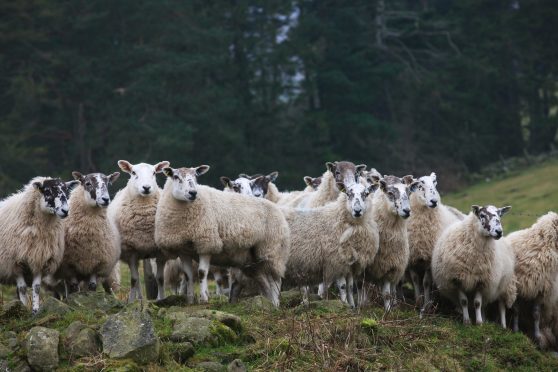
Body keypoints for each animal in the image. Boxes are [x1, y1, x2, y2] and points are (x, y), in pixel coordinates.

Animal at [107, 160, 171, 302]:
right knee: (137, 282)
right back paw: (139, 299)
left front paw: (161, 299)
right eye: (133, 172)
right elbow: (134, 280)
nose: (146, 188)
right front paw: (131, 301)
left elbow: (160, 278)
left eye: (154, 173)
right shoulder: (131, 252)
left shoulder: (160, 252)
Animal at [155, 164, 290, 306]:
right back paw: (270, 303)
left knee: (275, 280)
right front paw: (190, 300)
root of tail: (276, 207)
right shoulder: (183, 249)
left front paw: (204, 298)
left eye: (196, 176)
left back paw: (275, 303)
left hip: (272, 250)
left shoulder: (207, 243)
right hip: (254, 259)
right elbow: (188, 276)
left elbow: (202, 273)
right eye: (176, 177)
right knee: (264, 280)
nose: (193, 193)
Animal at [366, 174, 418, 310]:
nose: (407, 210)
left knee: (393, 289)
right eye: (390, 193)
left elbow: (387, 294)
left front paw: (388, 310)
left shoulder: (390, 267)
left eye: (408, 192)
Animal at [406, 174, 464, 310]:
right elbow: (416, 280)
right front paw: (418, 302)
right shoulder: (412, 259)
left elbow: (426, 282)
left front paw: (427, 305)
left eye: (434, 182)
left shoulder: (429, 260)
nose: (434, 201)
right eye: (420, 184)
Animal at [508, 212, 558, 342]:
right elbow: (516, 311)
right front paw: (516, 330)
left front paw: (537, 336)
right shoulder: (519, 287)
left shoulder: (539, 288)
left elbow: (536, 314)